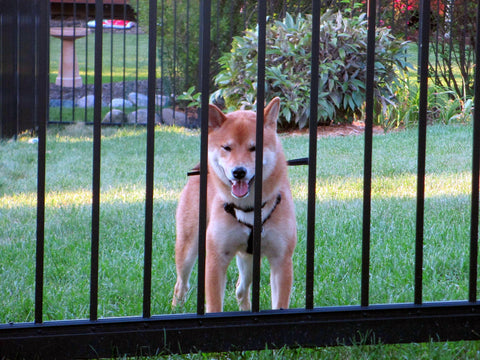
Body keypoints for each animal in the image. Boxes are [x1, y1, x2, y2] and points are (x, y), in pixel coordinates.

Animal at [172, 97, 296, 312]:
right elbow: (214, 305)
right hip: (188, 247)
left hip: (249, 260)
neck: (249, 208)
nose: (239, 172)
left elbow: (280, 305)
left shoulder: (281, 261)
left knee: (240, 287)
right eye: (227, 148)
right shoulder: (216, 259)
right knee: (181, 284)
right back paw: (176, 308)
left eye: (254, 148)